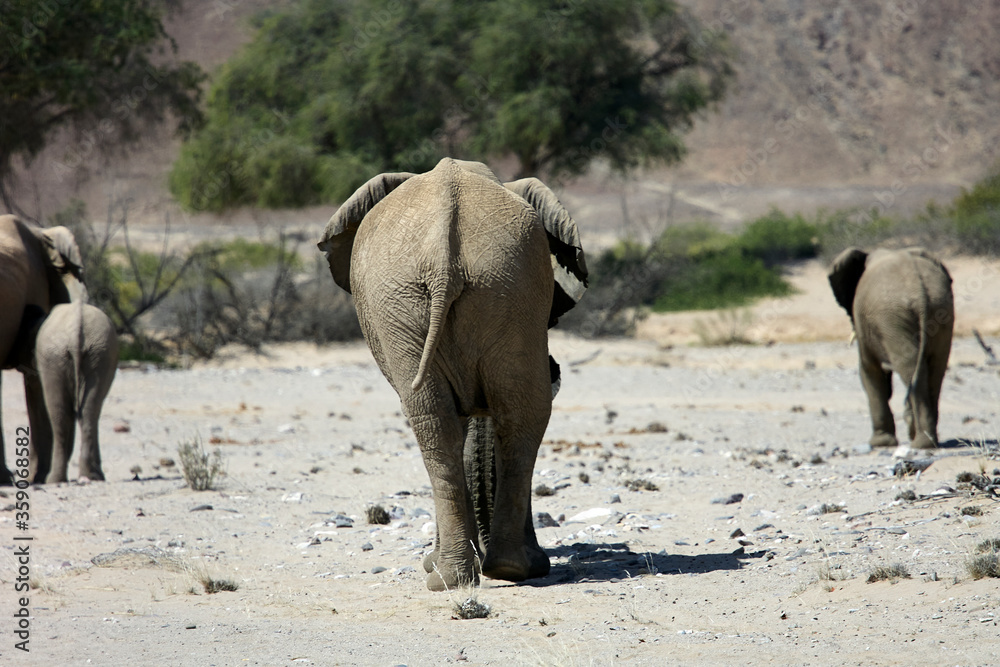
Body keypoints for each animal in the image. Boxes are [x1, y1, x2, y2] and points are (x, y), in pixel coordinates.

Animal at [31, 302, 118, 483]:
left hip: (62, 355)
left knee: (60, 413)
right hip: (96, 353)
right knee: (89, 410)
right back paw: (91, 476)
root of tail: (77, 328)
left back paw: (54, 480)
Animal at [318, 158, 587, 591]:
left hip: (484, 287)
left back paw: (466, 574)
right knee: (497, 416)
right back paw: (496, 571)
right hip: (484, 289)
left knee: (448, 421)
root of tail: (444, 257)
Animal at [828, 246, 954, 450]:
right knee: (935, 370)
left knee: (910, 369)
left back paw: (921, 442)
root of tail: (920, 291)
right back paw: (926, 440)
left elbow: (868, 371)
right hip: (941, 311)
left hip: (893, 318)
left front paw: (880, 443)